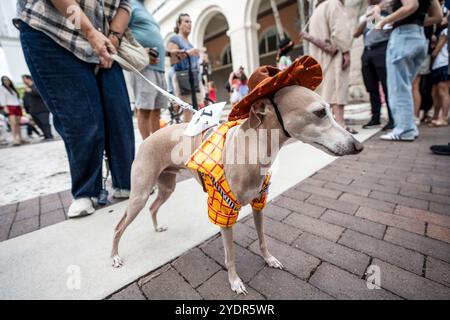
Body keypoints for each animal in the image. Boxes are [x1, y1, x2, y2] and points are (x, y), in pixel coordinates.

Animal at [110, 85, 364, 296]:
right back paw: (114, 257)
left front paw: (269, 259)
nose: (358, 146)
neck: (252, 148)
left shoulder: (259, 205)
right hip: (140, 194)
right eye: (320, 112)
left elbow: (262, 239)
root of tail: (146, 139)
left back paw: (156, 227)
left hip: (166, 186)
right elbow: (230, 255)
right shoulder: (224, 212)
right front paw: (234, 282)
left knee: (153, 208)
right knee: (119, 226)